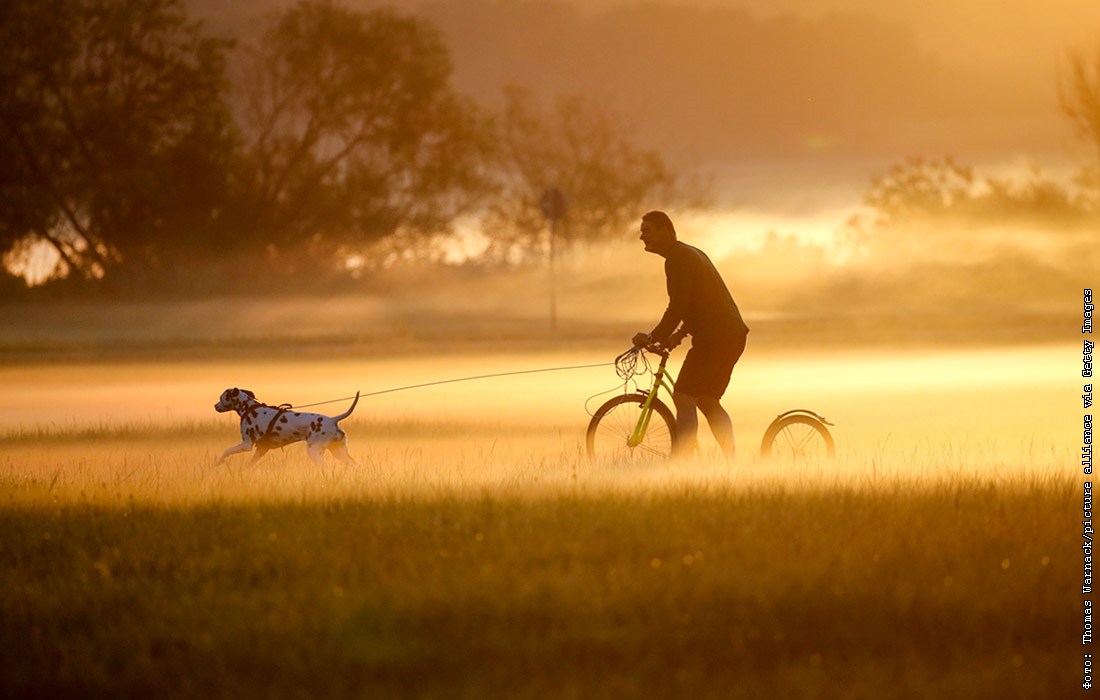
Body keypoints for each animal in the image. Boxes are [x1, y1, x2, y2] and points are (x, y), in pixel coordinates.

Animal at [210, 387, 356, 464]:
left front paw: (218, 463)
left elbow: (226, 451)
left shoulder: (246, 444)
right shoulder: (262, 449)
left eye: (221, 398)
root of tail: (332, 420)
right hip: (341, 453)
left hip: (315, 452)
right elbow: (249, 465)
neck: (249, 408)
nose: (215, 406)